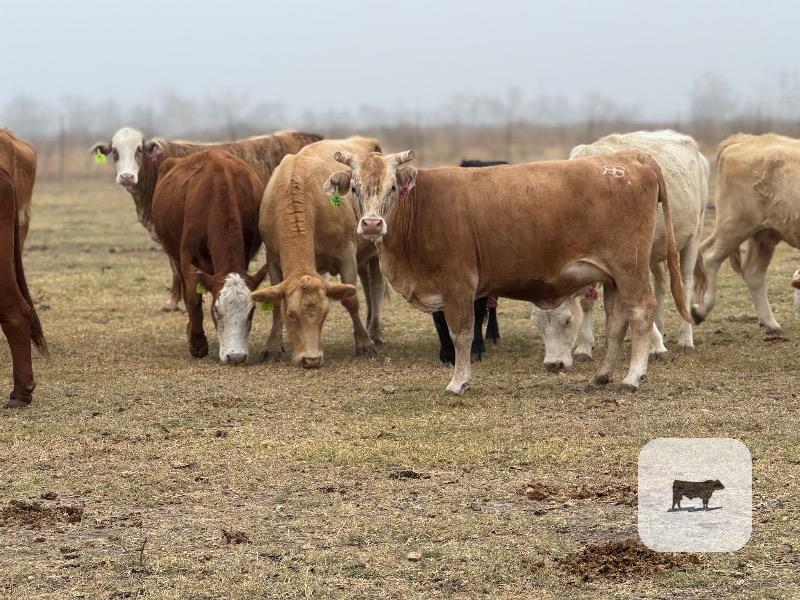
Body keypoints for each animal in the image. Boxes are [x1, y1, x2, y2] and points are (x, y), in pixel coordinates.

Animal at [151, 151, 267, 363]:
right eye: (216, 311)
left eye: (251, 312)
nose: (235, 356)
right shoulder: (188, 258)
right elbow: (193, 299)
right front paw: (197, 343)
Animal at [249, 138, 386, 367]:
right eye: (291, 315)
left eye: (325, 313)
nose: (311, 359)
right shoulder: (273, 259)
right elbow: (275, 303)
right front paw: (273, 347)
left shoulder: (346, 254)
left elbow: (351, 300)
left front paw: (364, 343)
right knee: (368, 284)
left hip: (375, 244)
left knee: (375, 286)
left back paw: (374, 332)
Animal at [323, 148, 689, 394]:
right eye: (354, 187)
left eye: (392, 187)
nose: (372, 224)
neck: (423, 209)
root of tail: (630, 158)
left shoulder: (459, 287)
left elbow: (462, 335)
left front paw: (458, 381)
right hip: (613, 275)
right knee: (616, 321)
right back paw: (602, 375)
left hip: (631, 268)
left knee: (641, 312)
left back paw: (632, 377)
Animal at [533, 131, 710, 370]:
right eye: (537, 324)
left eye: (567, 320)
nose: (553, 364)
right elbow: (588, 301)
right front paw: (584, 347)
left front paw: (657, 346)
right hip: (656, 248)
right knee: (661, 283)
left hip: (694, 233)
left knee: (686, 282)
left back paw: (685, 338)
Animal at [692, 133, 800, 337]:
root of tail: (744, 139)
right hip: (736, 224)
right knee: (710, 257)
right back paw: (700, 310)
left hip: (764, 234)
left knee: (753, 273)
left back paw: (770, 323)